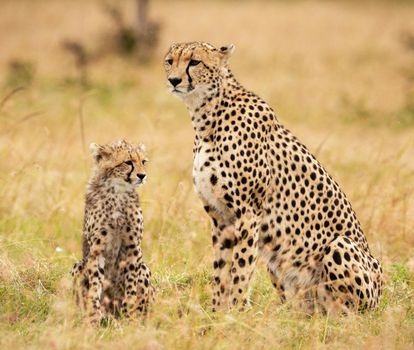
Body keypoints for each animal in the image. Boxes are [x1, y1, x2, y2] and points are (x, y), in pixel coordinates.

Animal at [72, 139, 154, 322]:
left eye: (143, 162)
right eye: (128, 162)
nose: (142, 175)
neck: (117, 191)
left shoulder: (133, 247)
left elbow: (131, 285)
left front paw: (129, 315)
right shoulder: (97, 248)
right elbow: (95, 284)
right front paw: (94, 315)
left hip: (144, 267)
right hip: (78, 265)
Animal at [163, 41, 384, 314]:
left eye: (194, 62)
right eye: (170, 61)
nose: (173, 80)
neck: (207, 115)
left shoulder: (248, 213)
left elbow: (240, 269)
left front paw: (236, 312)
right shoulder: (220, 217)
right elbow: (220, 270)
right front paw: (216, 312)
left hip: (340, 247)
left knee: (348, 311)